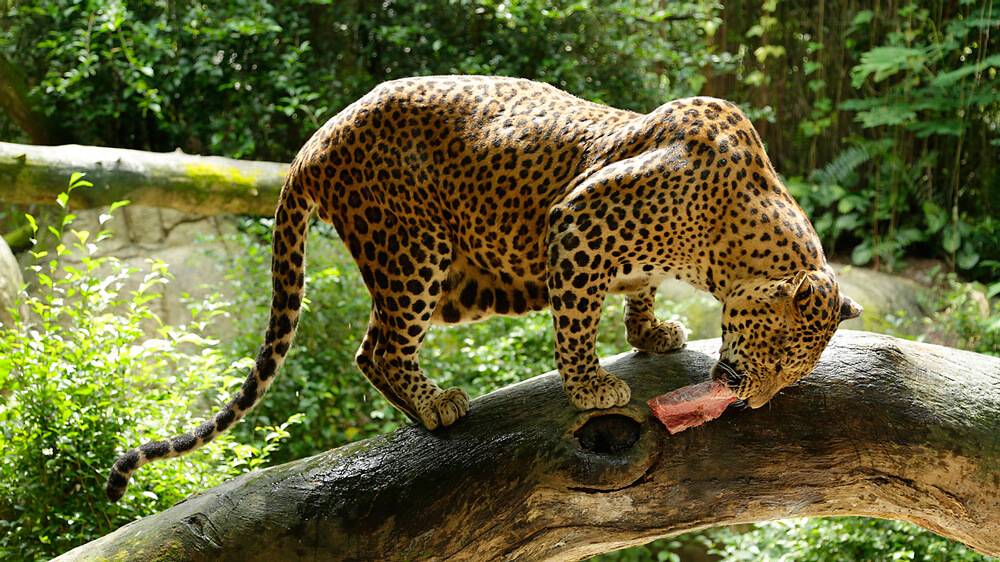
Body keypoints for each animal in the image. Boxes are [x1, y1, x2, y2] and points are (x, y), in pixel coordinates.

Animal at [107, 75, 862, 501]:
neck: (727, 237)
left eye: (793, 373)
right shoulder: (577, 225)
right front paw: (590, 386)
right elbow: (576, 320)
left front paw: (651, 332)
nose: (752, 401)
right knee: (377, 347)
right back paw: (434, 406)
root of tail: (318, 138)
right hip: (413, 249)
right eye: (778, 355)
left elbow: (638, 291)